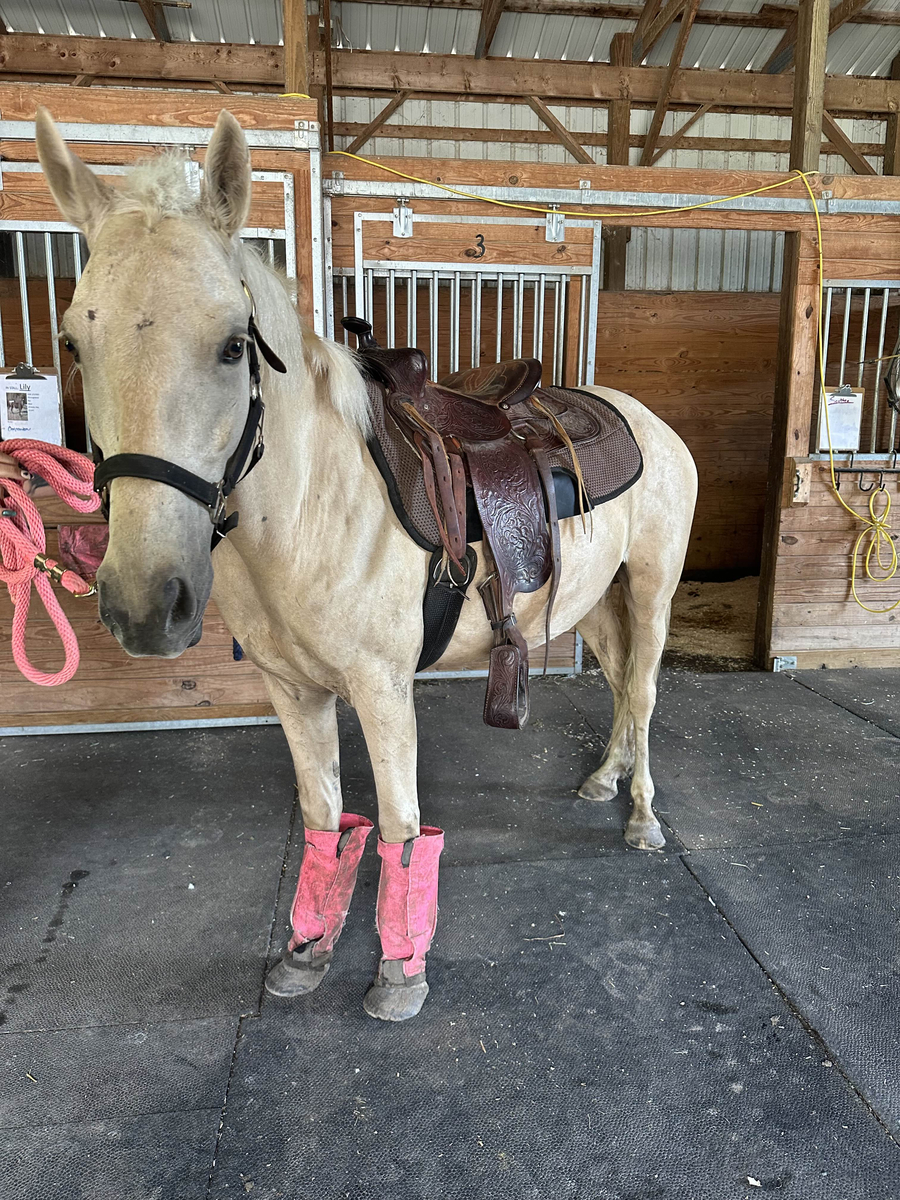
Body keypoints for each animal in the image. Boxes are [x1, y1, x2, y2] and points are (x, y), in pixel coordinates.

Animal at [35, 109, 697, 1022]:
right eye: (73, 339)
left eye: (234, 345)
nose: (144, 603)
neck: (314, 509)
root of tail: (643, 419)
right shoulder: (293, 690)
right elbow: (324, 816)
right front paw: (308, 950)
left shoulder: (383, 691)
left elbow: (398, 825)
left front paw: (400, 970)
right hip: (596, 603)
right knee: (623, 688)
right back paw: (605, 780)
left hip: (654, 588)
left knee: (646, 691)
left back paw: (641, 816)